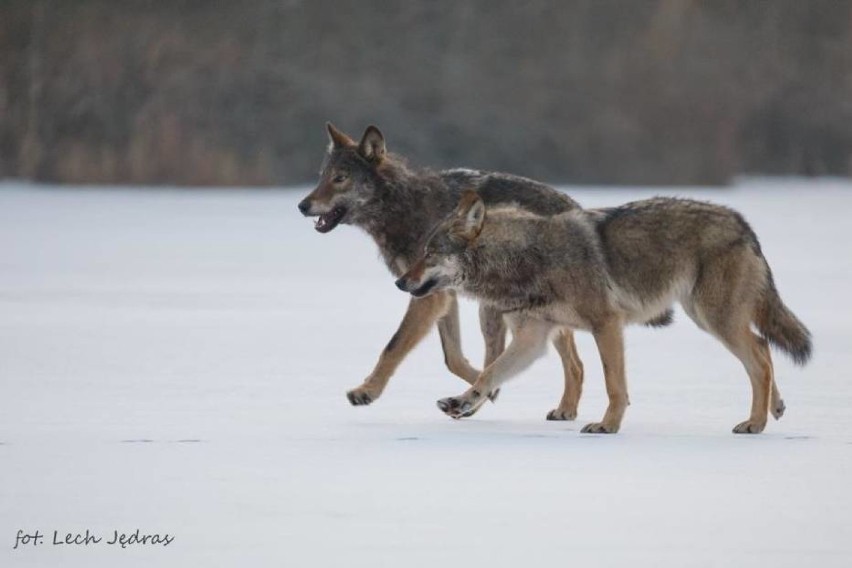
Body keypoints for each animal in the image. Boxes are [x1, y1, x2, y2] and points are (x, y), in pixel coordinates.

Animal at [296, 123, 596, 418]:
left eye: (340, 178)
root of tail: (575, 205)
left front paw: (366, 391)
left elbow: (393, 347)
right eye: (322, 177)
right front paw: (485, 391)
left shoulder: (428, 296)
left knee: (575, 364)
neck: (402, 208)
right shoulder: (440, 294)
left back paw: (564, 410)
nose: (302, 205)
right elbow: (452, 358)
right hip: (496, 310)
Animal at [398, 192, 812, 434]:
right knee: (763, 350)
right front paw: (462, 403)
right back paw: (770, 411)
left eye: (430, 253)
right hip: (706, 317)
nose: (400, 282)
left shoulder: (606, 324)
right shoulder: (533, 337)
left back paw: (754, 423)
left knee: (759, 357)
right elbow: (490, 373)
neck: (526, 257)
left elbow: (615, 385)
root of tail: (742, 222)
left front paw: (607, 425)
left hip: (715, 319)